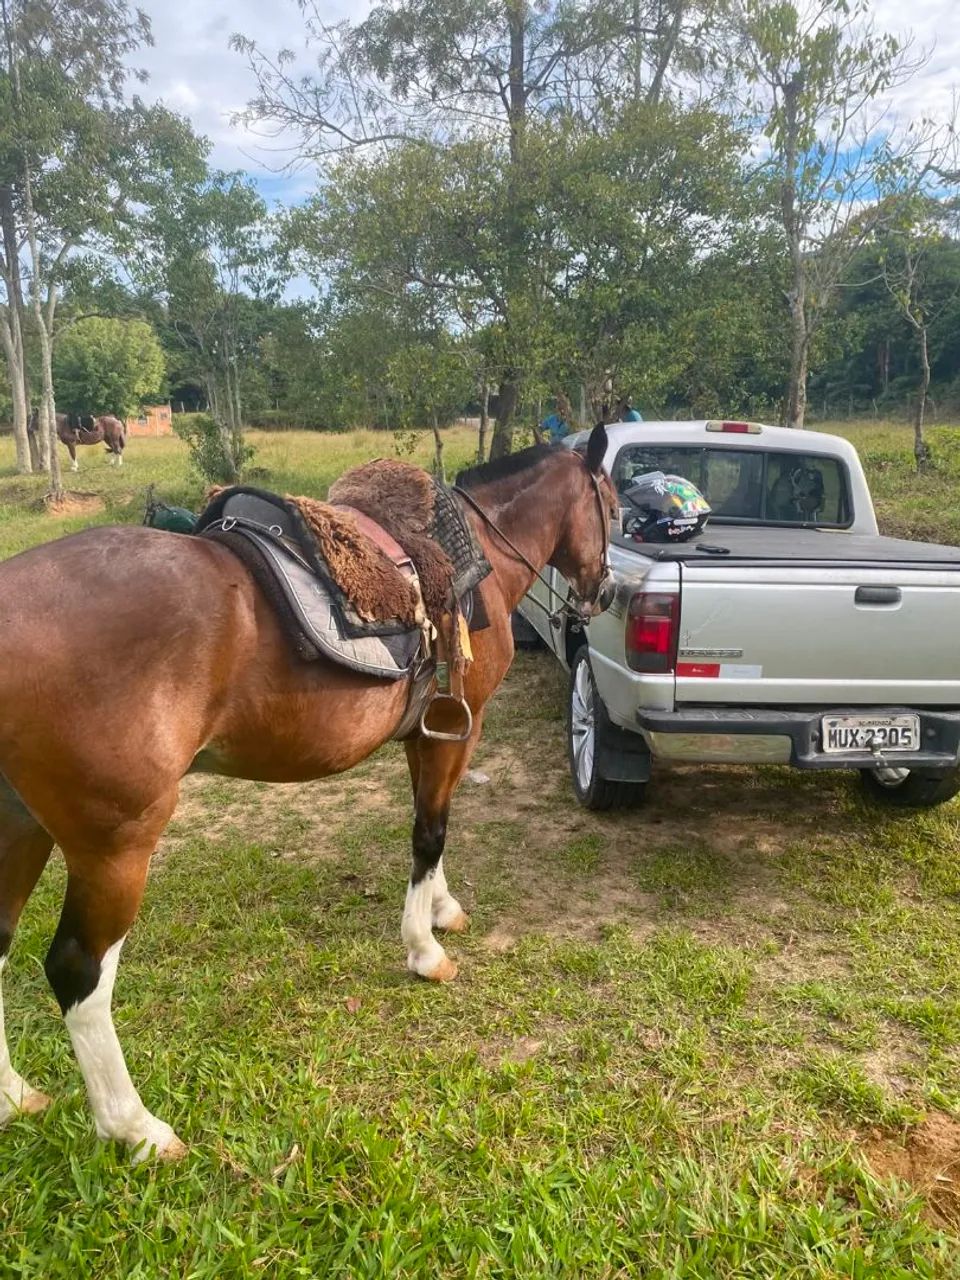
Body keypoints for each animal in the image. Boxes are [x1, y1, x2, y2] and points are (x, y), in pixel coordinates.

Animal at [0, 425, 616, 1163]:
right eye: (613, 505)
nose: (606, 591)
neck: (475, 557)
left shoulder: (424, 735)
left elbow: (432, 825)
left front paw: (442, 909)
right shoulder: (452, 731)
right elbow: (430, 833)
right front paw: (424, 948)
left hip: (18, 825)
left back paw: (13, 1097)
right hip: (115, 846)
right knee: (78, 972)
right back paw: (135, 1127)